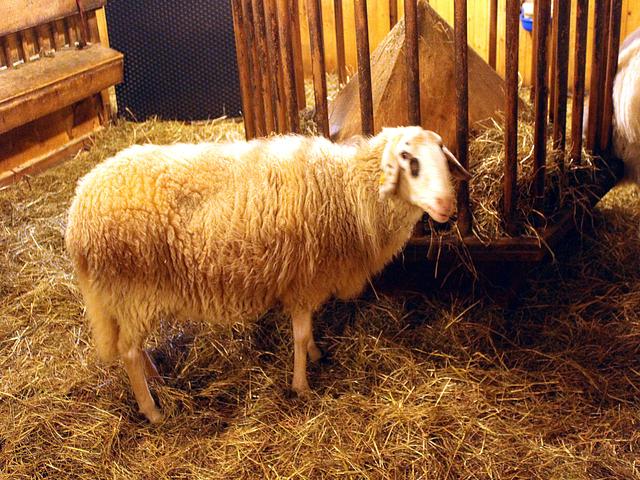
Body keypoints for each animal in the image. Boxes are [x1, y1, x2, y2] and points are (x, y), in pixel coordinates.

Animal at [65, 126, 471, 423]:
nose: (447, 206)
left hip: (124, 297)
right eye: (408, 159)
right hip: (133, 290)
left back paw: (155, 379)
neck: (348, 189)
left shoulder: (303, 280)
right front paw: (302, 385)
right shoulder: (304, 279)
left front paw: (317, 355)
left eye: (443, 156)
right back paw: (152, 410)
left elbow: (306, 331)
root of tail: (80, 204)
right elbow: (299, 334)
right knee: (129, 352)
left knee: (131, 347)